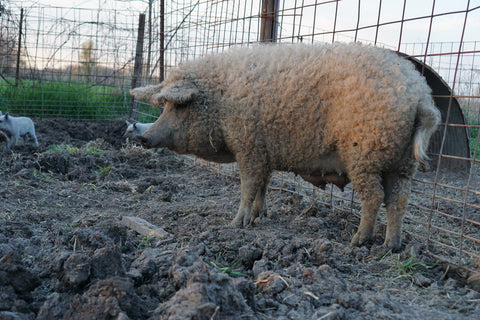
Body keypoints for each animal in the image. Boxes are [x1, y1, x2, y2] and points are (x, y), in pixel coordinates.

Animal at [129, 43, 440, 252]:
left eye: (179, 106)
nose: (143, 138)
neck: (221, 102)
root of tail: (421, 97)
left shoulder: (249, 147)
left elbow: (248, 186)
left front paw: (236, 224)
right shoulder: (264, 152)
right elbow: (263, 186)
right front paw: (260, 216)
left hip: (364, 156)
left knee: (374, 197)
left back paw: (358, 241)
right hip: (402, 164)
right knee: (399, 200)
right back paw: (391, 246)